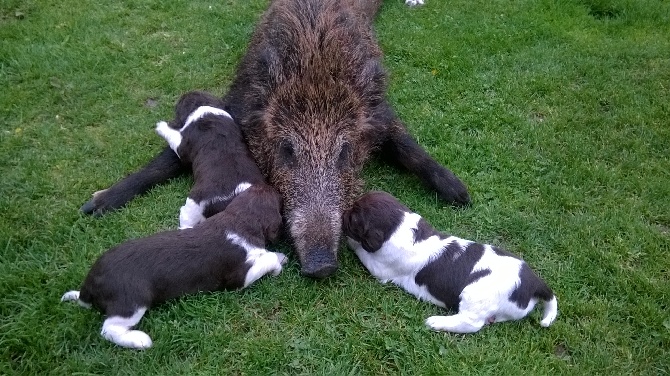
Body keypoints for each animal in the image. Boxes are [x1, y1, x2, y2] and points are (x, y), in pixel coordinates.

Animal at [63, 185, 292, 350]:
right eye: (278, 197)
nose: (274, 185)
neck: (238, 220)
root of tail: (90, 284)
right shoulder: (239, 275)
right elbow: (265, 260)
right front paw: (277, 261)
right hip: (131, 301)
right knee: (109, 329)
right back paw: (139, 340)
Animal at [344, 192, 560, 334]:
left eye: (353, 218)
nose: (344, 211)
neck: (400, 226)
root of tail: (535, 282)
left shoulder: (381, 269)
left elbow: (361, 250)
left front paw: (348, 239)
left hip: (475, 294)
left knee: (471, 324)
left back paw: (435, 322)